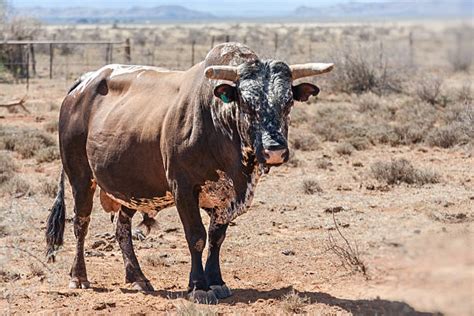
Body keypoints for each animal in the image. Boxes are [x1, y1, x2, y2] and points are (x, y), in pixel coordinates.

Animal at [45, 42, 334, 304]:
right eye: (246, 104)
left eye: (288, 102)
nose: (275, 149)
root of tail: (84, 82)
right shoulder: (183, 188)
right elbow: (196, 237)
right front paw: (199, 286)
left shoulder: (227, 197)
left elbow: (216, 238)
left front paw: (216, 281)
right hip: (81, 178)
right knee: (81, 224)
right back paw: (79, 276)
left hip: (130, 187)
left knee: (122, 229)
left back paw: (138, 277)